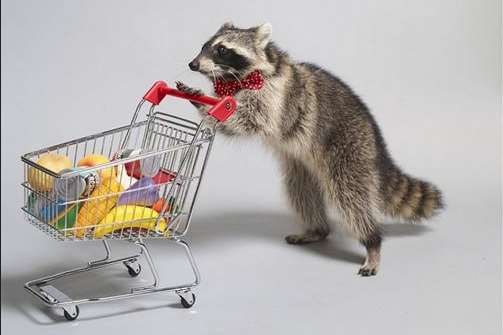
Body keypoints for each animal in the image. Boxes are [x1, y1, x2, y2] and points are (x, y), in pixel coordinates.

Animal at [175, 22, 442, 276]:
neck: (237, 79)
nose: (193, 64)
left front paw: (208, 106)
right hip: (302, 164)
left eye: (222, 50)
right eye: (205, 45)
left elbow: (248, 121)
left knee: (351, 197)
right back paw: (318, 229)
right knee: (301, 190)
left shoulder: (274, 96)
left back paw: (372, 242)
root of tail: (375, 138)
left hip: (349, 150)